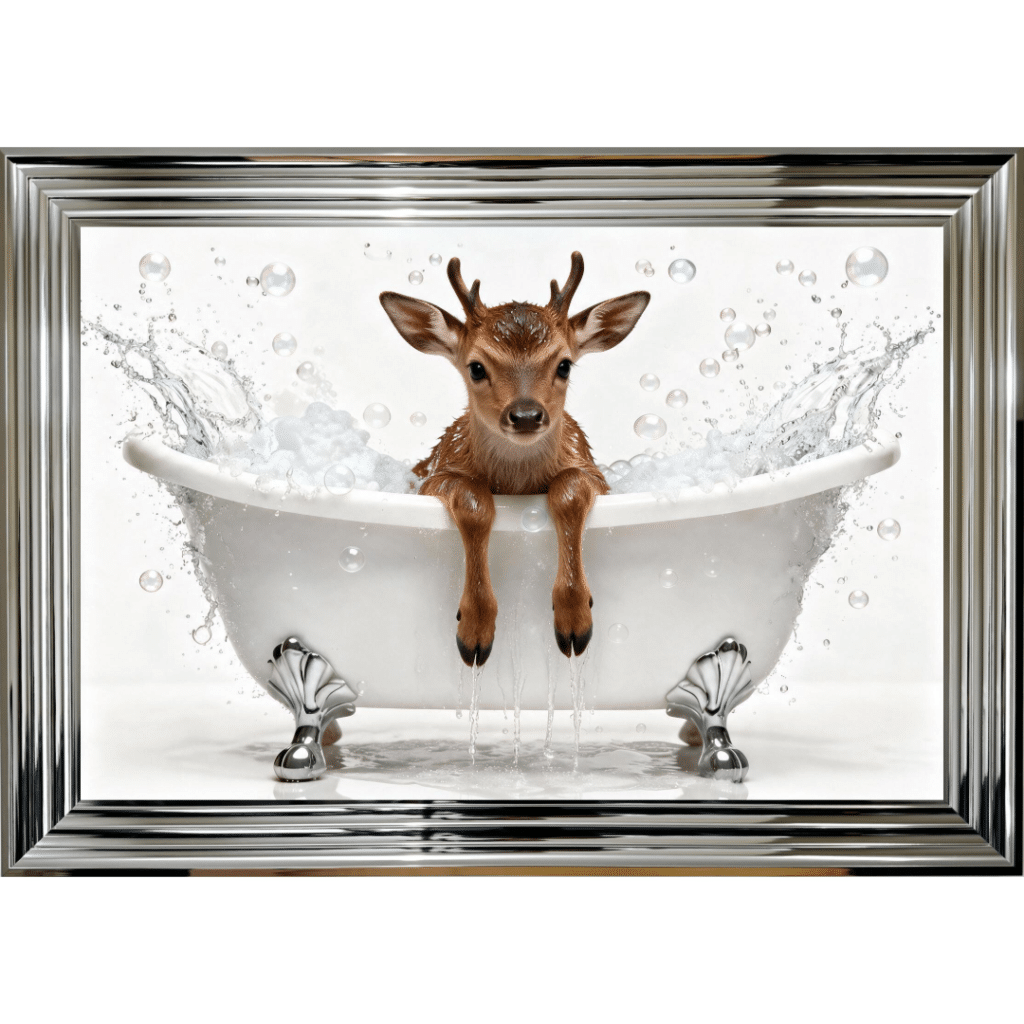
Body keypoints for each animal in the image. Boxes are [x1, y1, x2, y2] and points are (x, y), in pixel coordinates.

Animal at [379, 252, 650, 668]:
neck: (517, 485)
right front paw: (474, 631)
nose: (525, 415)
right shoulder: (435, 476)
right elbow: (475, 502)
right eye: (476, 367)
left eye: (564, 364)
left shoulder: (594, 474)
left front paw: (575, 620)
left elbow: (568, 490)